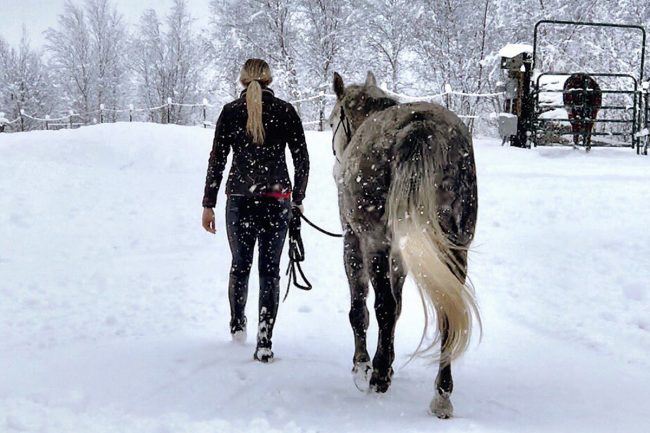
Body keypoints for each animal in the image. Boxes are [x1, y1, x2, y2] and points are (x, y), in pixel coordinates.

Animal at [329, 71, 480, 418]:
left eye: (332, 122)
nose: (335, 169)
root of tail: (421, 129)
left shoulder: (353, 241)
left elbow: (363, 307)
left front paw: (364, 365)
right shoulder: (401, 255)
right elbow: (397, 307)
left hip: (375, 242)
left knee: (381, 305)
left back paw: (378, 378)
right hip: (455, 247)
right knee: (447, 311)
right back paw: (442, 394)